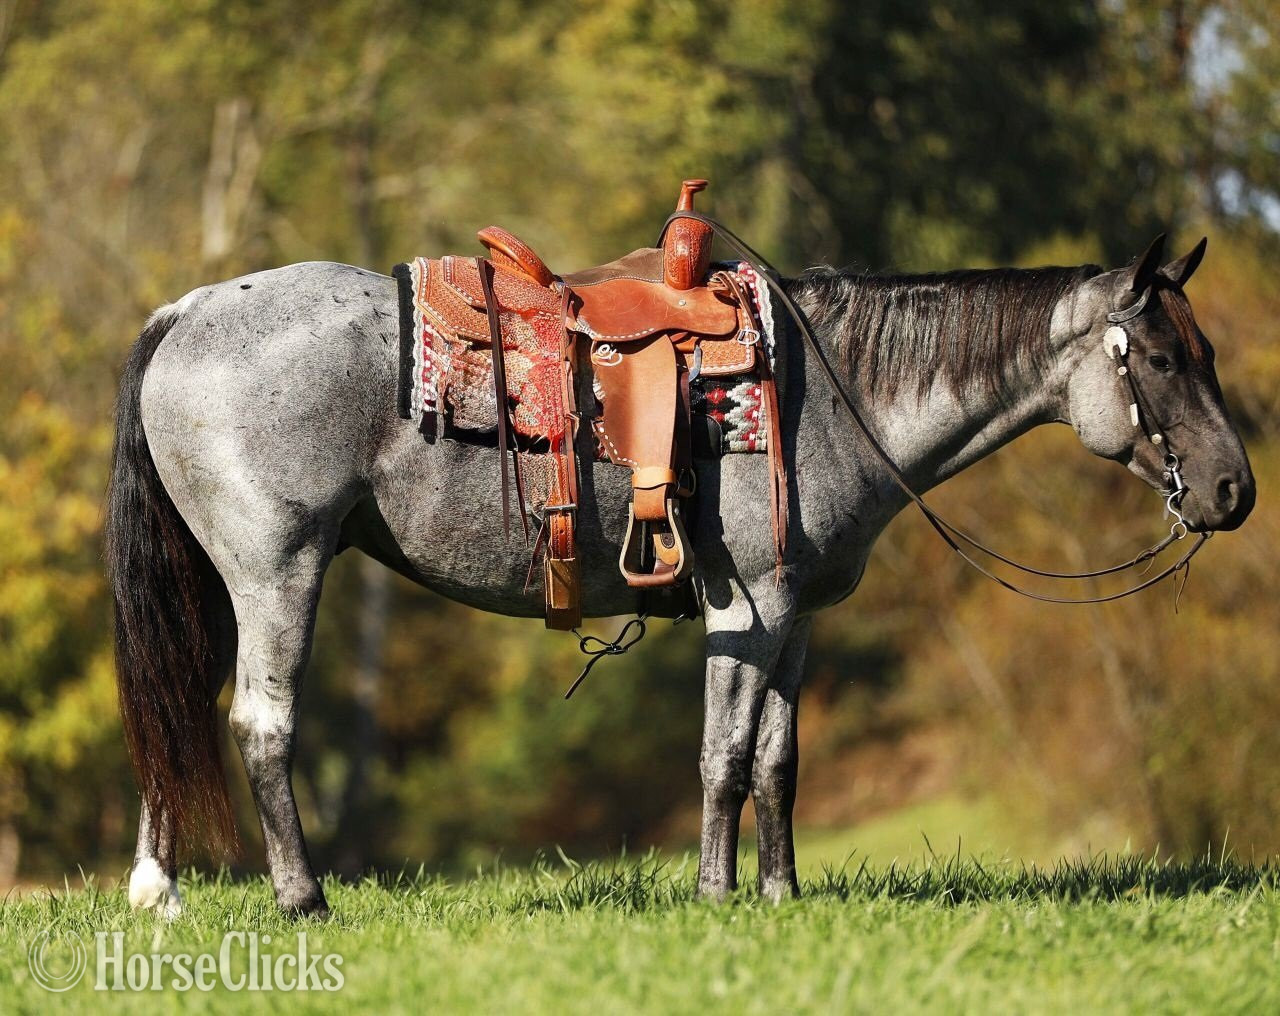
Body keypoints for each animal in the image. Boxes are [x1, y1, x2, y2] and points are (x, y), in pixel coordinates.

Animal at [107, 232, 1254, 917]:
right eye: (1159, 359)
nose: (1233, 490)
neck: (828, 393)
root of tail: (188, 309)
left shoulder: (797, 617)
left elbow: (779, 761)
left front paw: (781, 894)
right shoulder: (748, 604)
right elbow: (723, 756)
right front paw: (714, 893)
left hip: (219, 584)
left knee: (174, 711)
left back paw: (158, 889)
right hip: (277, 571)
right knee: (261, 725)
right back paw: (302, 898)